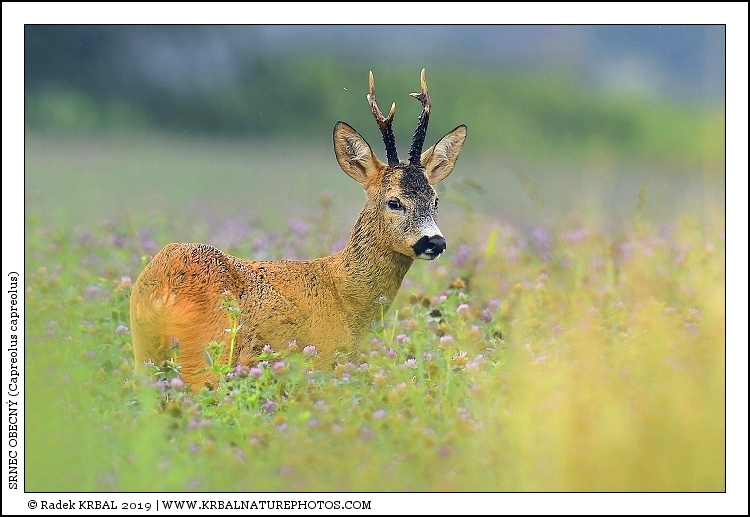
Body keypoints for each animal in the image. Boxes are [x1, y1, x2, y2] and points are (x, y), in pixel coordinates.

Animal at [130, 69, 467, 389]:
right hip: (209, 352)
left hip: (145, 352)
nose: (434, 242)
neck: (346, 294)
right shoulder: (325, 359)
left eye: (435, 200)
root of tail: (162, 285)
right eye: (394, 202)